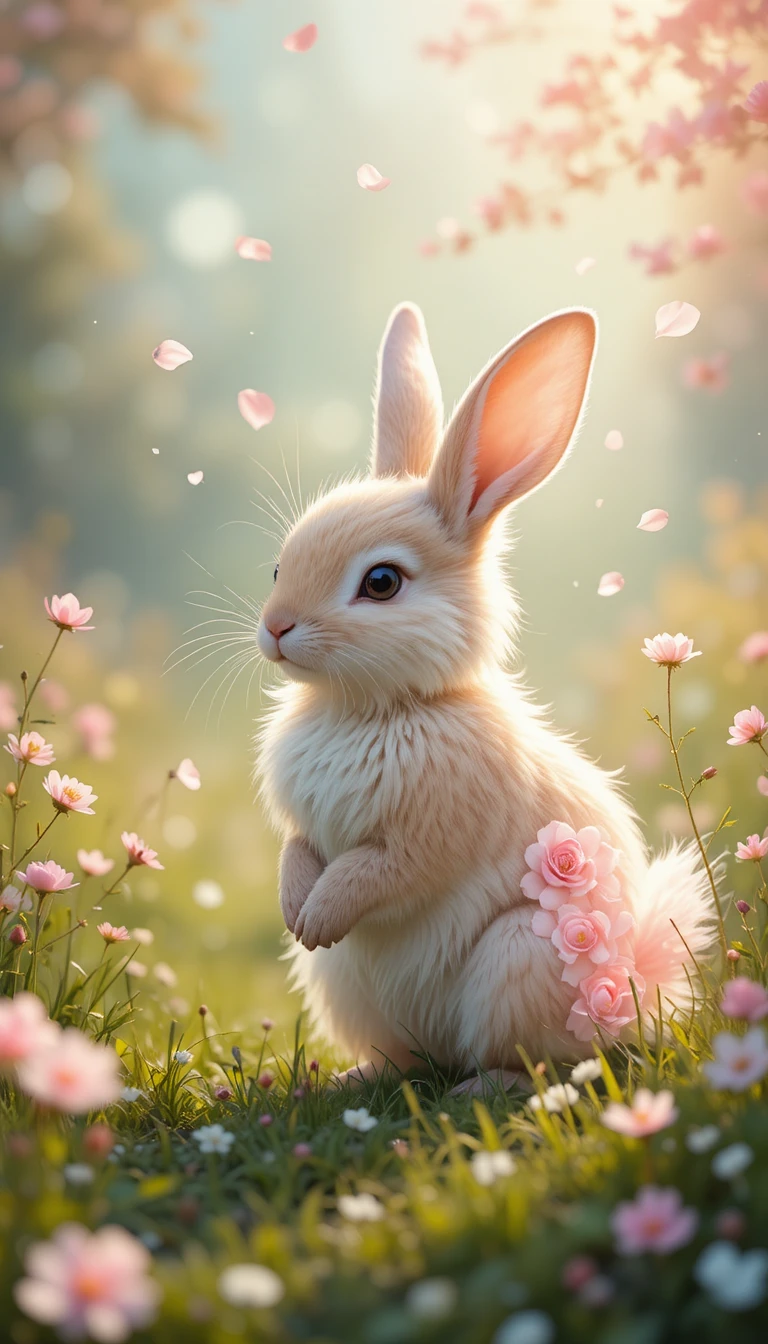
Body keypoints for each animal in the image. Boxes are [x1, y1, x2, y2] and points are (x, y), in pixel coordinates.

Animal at [255, 302, 715, 1091]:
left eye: (381, 582)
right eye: (281, 566)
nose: (276, 629)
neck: (376, 708)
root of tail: (635, 990)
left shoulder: (424, 837)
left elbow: (374, 873)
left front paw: (317, 918)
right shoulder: (308, 828)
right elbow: (298, 851)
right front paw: (297, 914)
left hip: (525, 956)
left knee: (540, 1061)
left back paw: (482, 1086)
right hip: (349, 990)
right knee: (406, 1061)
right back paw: (351, 1078)